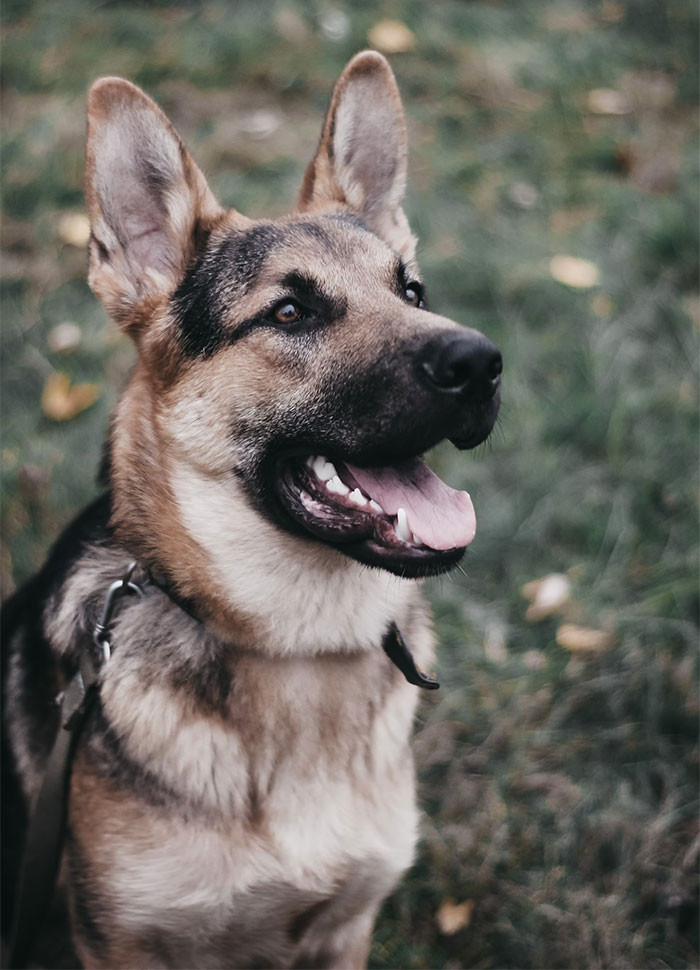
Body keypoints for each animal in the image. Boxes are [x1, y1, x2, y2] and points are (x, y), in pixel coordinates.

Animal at [2, 53, 500, 968]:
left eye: (413, 291)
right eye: (291, 312)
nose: (482, 363)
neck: (299, 651)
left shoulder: (345, 931)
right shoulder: (121, 945)